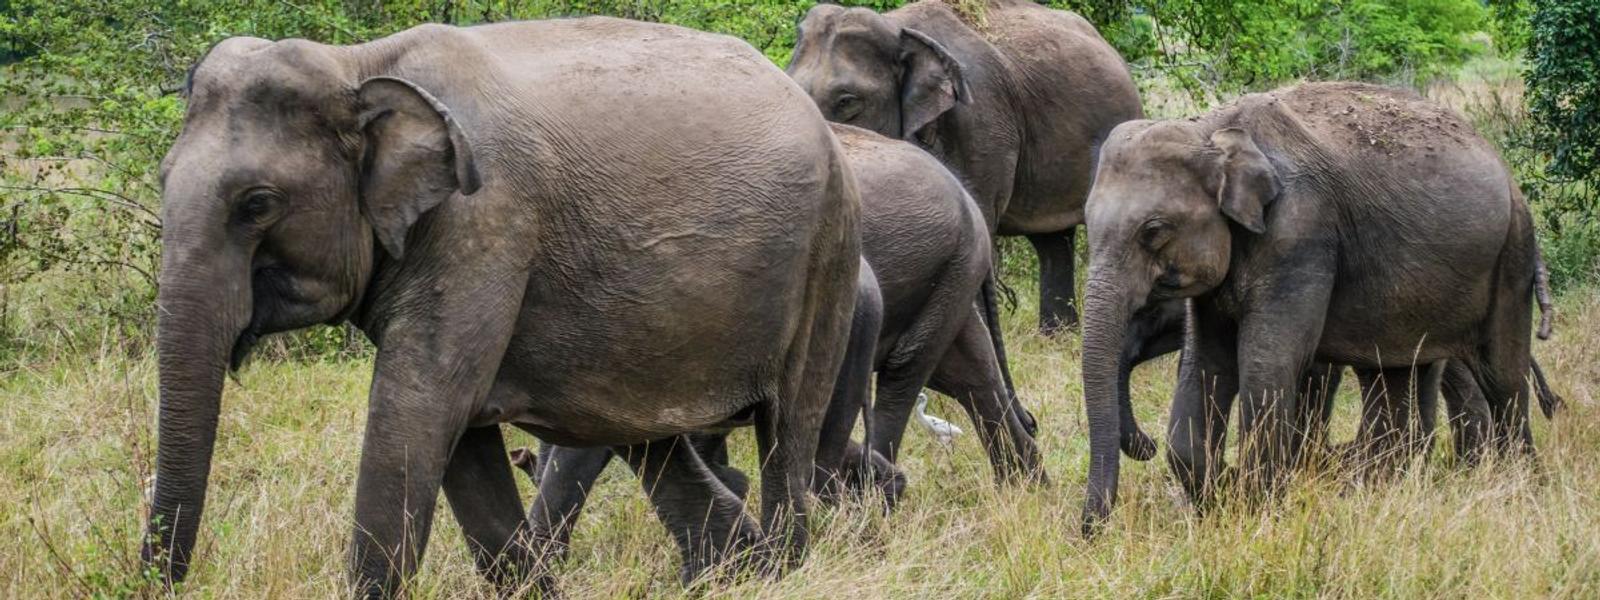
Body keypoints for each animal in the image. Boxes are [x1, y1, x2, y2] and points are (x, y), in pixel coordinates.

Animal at [145, 19, 862, 597]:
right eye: (162, 177)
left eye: (257, 204)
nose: (164, 582)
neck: (358, 65)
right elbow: (460, 446)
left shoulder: (484, 223)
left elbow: (420, 412)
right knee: (652, 443)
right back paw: (740, 570)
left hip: (828, 258)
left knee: (787, 433)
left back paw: (783, 568)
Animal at [516, 123, 1047, 557]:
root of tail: (966, 197)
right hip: (951, 273)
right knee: (967, 374)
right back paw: (1024, 490)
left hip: (944, 269)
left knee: (906, 375)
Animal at [1077, 81, 1543, 534]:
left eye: (1153, 231)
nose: (1088, 532)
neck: (1211, 129)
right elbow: (1208, 362)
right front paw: (1224, 501)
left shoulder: (1301, 233)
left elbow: (1266, 362)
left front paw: (1256, 513)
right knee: (1394, 373)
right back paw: (1381, 490)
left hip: (1512, 252)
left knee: (1502, 377)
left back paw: (1515, 487)